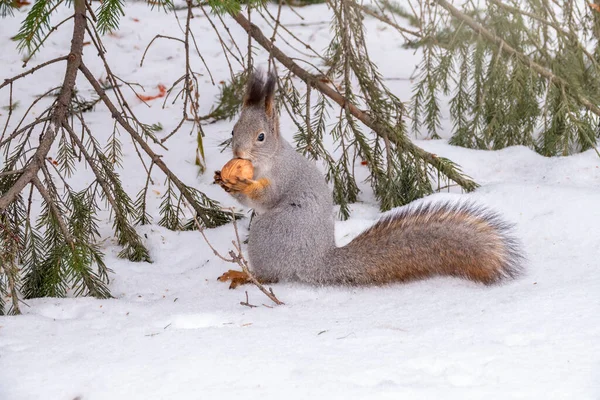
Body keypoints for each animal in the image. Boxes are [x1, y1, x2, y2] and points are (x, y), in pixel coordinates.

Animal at [213, 69, 524, 288]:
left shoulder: (282, 175)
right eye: (233, 130)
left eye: (261, 137)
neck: (267, 161)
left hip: (269, 233)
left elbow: (266, 196)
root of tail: (316, 262)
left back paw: (246, 275)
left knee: (272, 276)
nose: (238, 152)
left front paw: (240, 184)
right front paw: (222, 178)